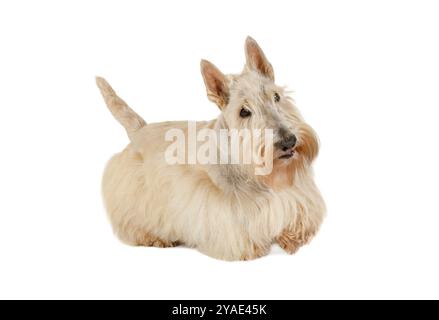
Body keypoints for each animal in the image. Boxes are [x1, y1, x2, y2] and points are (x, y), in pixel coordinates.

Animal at [99, 36, 326, 260]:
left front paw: (292, 238)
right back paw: (154, 238)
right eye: (244, 111)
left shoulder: (295, 195)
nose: (288, 141)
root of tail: (140, 129)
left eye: (276, 96)